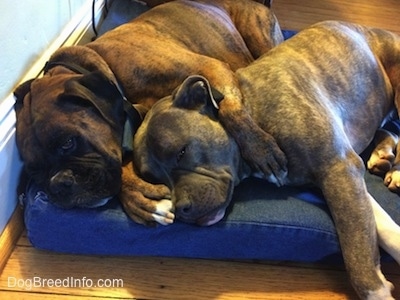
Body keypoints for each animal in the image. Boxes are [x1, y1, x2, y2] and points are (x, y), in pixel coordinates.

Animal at [14, 0, 286, 225]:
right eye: (34, 171)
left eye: (68, 142)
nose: (60, 183)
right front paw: (137, 198)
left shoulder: (209, 66)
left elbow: (231, 109)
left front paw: (261, 150)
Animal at [134, 20, 400, 298]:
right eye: (152, 177)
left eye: (181, 152)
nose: (180, 209)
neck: (252, 111)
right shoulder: (343, 174)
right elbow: (372, 225)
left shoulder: (337, 167)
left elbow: (355, 246)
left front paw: (376, 289)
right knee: (391, 128)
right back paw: (383, 154)